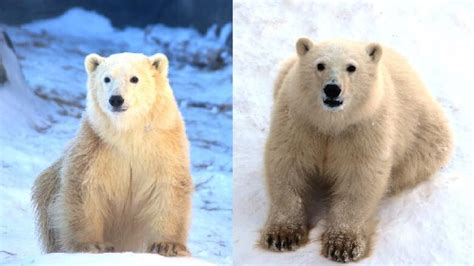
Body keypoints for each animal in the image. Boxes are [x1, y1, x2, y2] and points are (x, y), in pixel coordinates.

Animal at [31, 51, 193, 256]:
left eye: (134, 78)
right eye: (106, 78)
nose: (116, 99)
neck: (127, 133)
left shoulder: (164, 145)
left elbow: (168, 188)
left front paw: (168, 245)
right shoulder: (95, 144)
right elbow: (86, 188)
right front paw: (92, 245)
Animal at [262, 37, 454, 262]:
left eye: (351, 67)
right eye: (320, 65)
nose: (332, 89)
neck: (332, 123)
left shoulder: (363, 128)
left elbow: (359, 177)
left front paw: (342, 244)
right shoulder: (301, 120)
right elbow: (287, 164)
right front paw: (283, 235)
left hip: (424, 135)